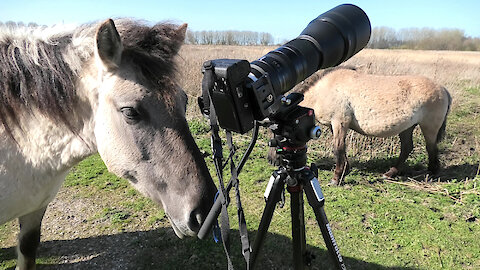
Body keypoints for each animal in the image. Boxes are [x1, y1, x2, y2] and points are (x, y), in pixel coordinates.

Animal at [296, 67, 450, 186]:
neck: (324, 90)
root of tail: (443, 89)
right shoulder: (334, 126)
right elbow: (341, 150)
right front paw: (345, 171)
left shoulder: (340, 122)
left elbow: (338, 149)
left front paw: (336, 178)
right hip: (407, 127)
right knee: (407, 148)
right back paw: (390, 174)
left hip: (429, 127)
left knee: (431, 149)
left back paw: (430, 174)